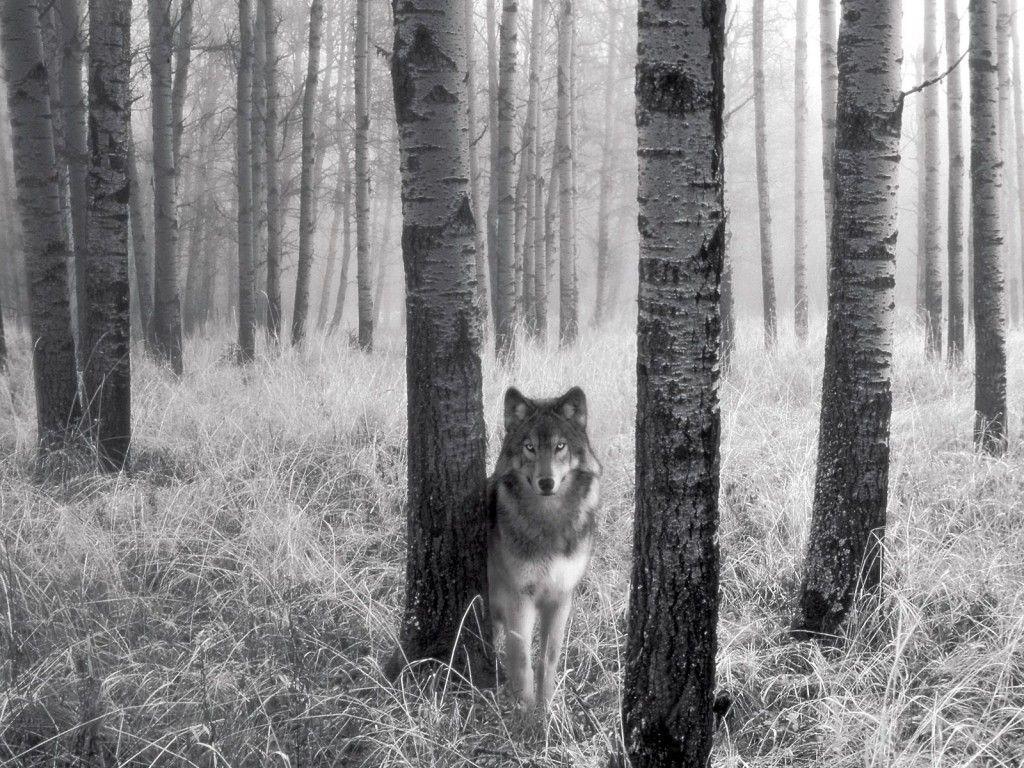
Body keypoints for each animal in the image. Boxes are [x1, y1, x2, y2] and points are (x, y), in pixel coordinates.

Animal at [487, 386, 601, 711]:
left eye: (560, 446)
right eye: (530, 447)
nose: (546, 482)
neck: (549, 522)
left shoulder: (561, 597)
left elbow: (548, 660)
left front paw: (547, 710)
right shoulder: (519, 599)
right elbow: (523, 661)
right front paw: (525, 715)